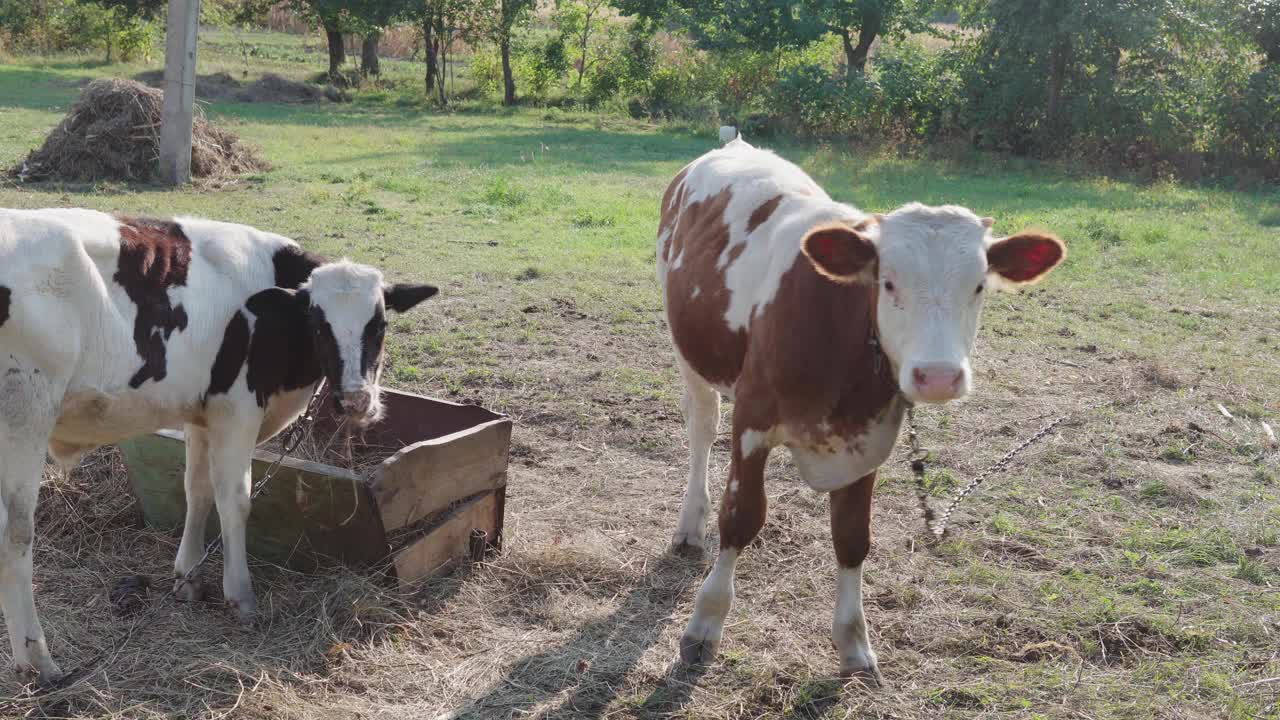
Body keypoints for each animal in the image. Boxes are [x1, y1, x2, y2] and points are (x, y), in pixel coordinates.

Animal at [0, 206, 437, 676]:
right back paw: (36, 659)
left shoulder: (201, 411)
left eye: (380, 325)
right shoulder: (237, 408)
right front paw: (240, 594)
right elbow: (235, 499)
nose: (355, 400)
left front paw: (189, 577)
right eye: (319, 326)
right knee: (16, 533)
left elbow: (197, 490)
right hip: (24, 416)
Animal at [655, 137, 1064, 681]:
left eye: (979, 285)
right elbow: (741, 517)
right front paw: (705, 625)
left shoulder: (871, 435)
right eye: (887, 282)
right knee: (701, 427)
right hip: (689, 352)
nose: (938, 376)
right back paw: (689, 524)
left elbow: (852, 537)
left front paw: (853, 641)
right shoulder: (752, 419)